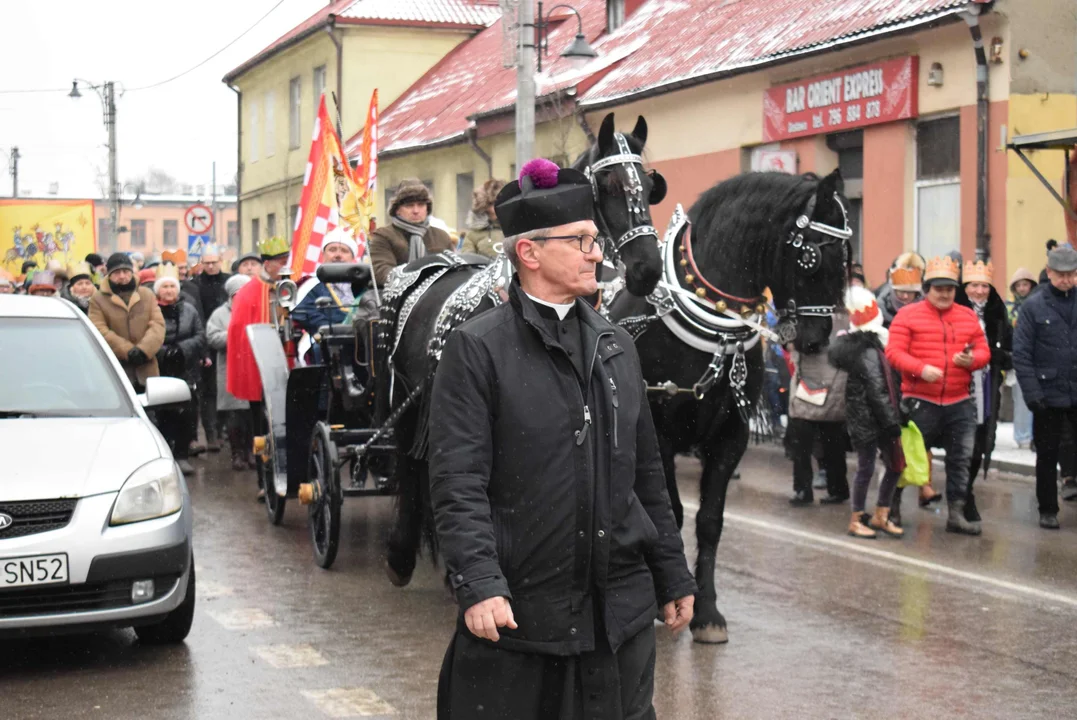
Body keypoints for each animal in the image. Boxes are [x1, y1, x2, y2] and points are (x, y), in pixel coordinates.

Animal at [607, 168, 848, 641]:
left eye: (845, 256)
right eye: (811, 258)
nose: (816, 340)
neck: (713, 326)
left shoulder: (731, 434)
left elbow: (710, 521)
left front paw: (707, 612)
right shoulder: (661, 435)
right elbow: (673, 512)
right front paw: (669, 601)